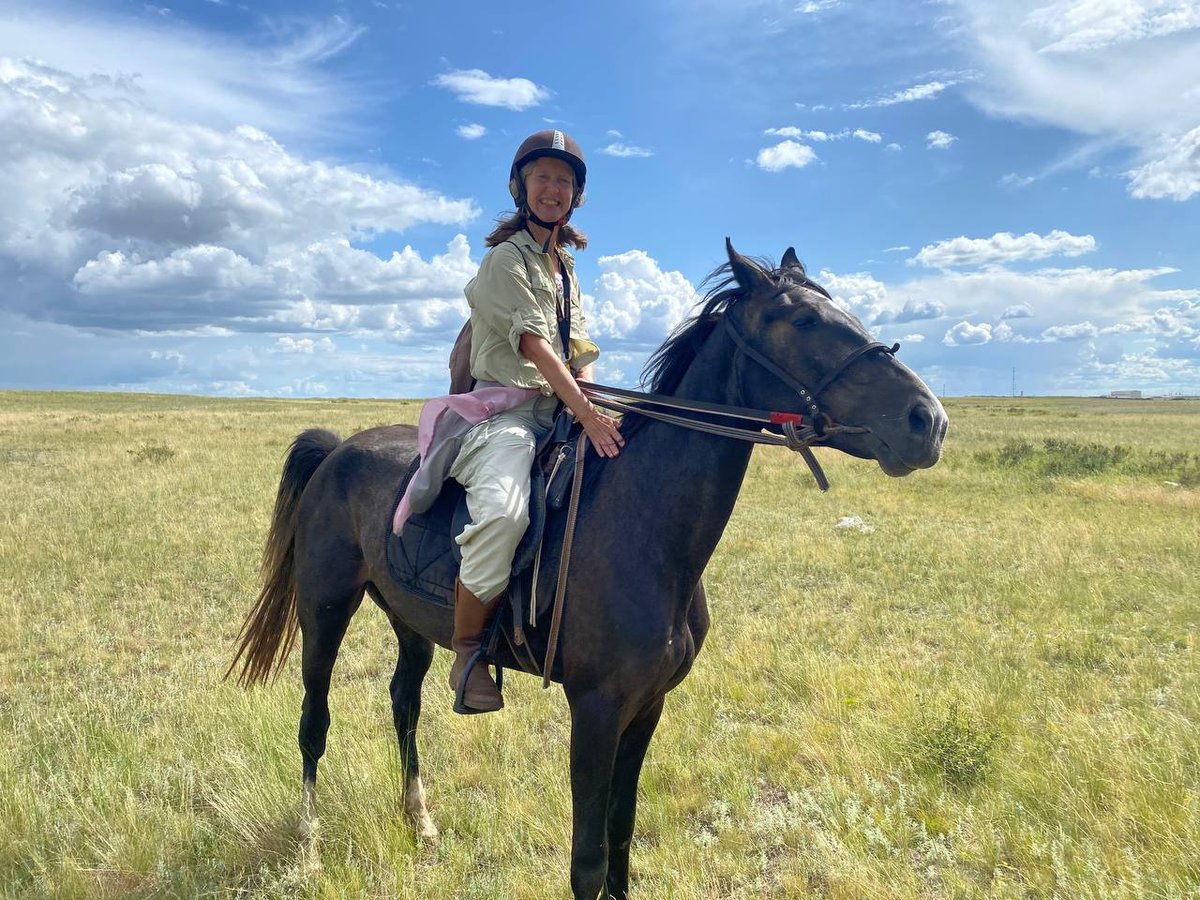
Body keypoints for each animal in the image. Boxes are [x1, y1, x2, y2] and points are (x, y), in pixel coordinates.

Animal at [228, 239, 948, 899]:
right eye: (802, 320)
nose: (928, 422)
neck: (645, 527)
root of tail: (338, 449)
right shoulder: (596, 710)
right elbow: (588, 863)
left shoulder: (648, 706)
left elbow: (621, 840)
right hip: (324, 609)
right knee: (314, 723)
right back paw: (309, 850)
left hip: (409, 621)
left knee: (403, 704)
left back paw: (420, 823)